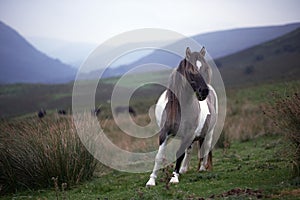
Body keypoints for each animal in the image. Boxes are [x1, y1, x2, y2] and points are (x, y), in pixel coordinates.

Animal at [146, 46, 217, 186]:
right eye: (190, 71)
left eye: (205, 68)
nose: (204, 91)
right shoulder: (164, 132)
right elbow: (159, 156)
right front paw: (151, 180)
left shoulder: (188, 134)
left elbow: (179, 154)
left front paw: (174, 177)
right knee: (190, 149)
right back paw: (184, 169)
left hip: (208, 131)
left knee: (205, 146)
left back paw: (202, 167)